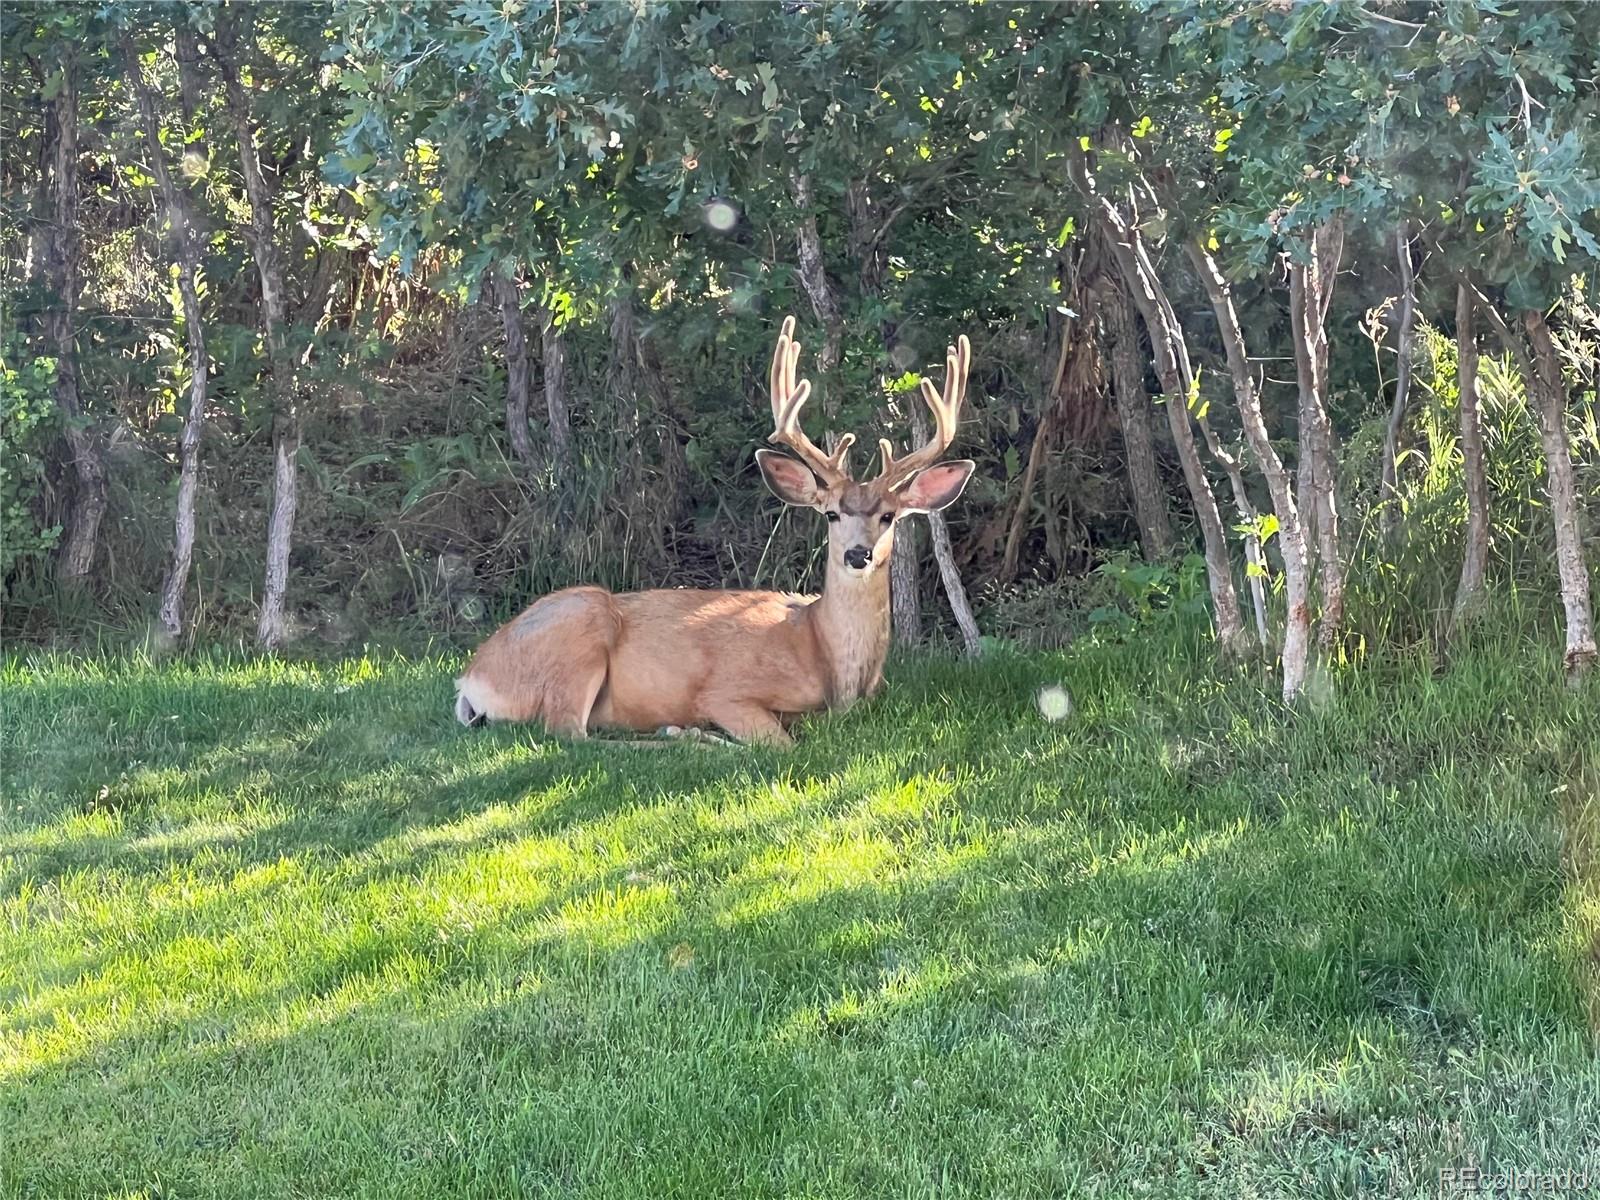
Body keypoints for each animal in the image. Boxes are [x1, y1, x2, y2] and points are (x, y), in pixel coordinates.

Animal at [454, 320, 972, 752]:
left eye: (888, 516)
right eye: (829, 514)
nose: (858, 555)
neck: (824, 656)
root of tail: (471, 679)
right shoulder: (727, 692)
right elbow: (783, 743)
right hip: (581, 627)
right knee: (569, 732)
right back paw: (684, 734)